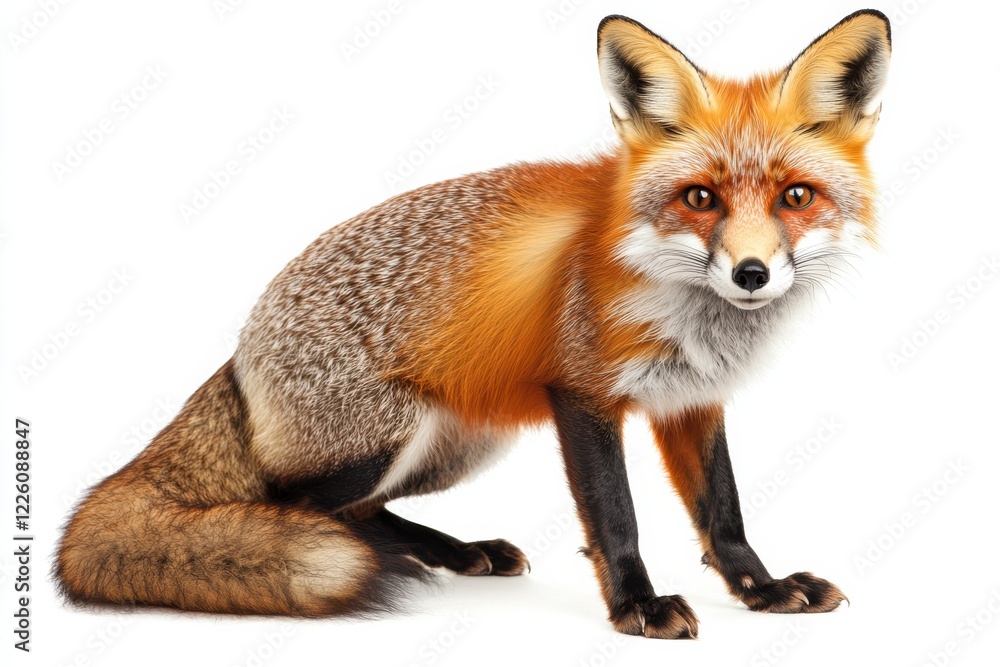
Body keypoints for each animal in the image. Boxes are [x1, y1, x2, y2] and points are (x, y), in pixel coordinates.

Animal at [56, 10, 891, 638]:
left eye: (795, 196)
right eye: (699, 198)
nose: (751, 273)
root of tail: (237, 351)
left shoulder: (690, 398)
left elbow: (724, 511)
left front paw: (761, 588)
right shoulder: (581, 391)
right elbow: (616, 518)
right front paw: (637, 605)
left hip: (465, 440)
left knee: (360, 511)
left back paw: (453, 551)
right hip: (386, 433)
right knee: (291, 507)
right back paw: (381, 557)